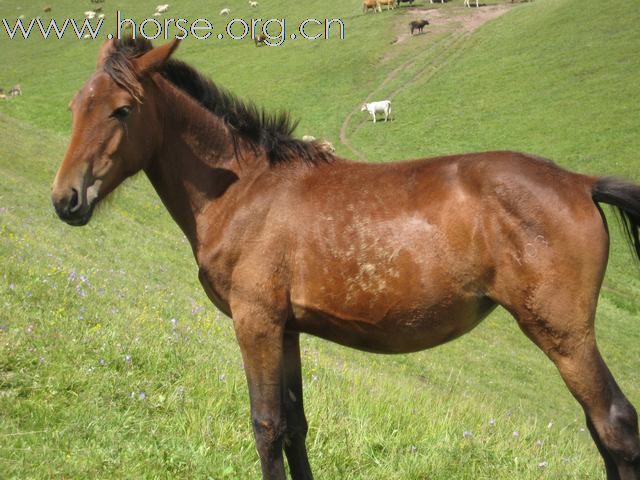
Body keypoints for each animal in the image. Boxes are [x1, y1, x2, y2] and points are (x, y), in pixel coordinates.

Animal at [51, 39, 640, 478]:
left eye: (122, 110)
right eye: (75, 106)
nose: (66, 199)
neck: (244, 189)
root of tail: (580, 183)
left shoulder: (254, 322)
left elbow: (266, 425)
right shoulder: (285, 329)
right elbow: (295, 425)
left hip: (563, 335)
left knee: (615, 426)